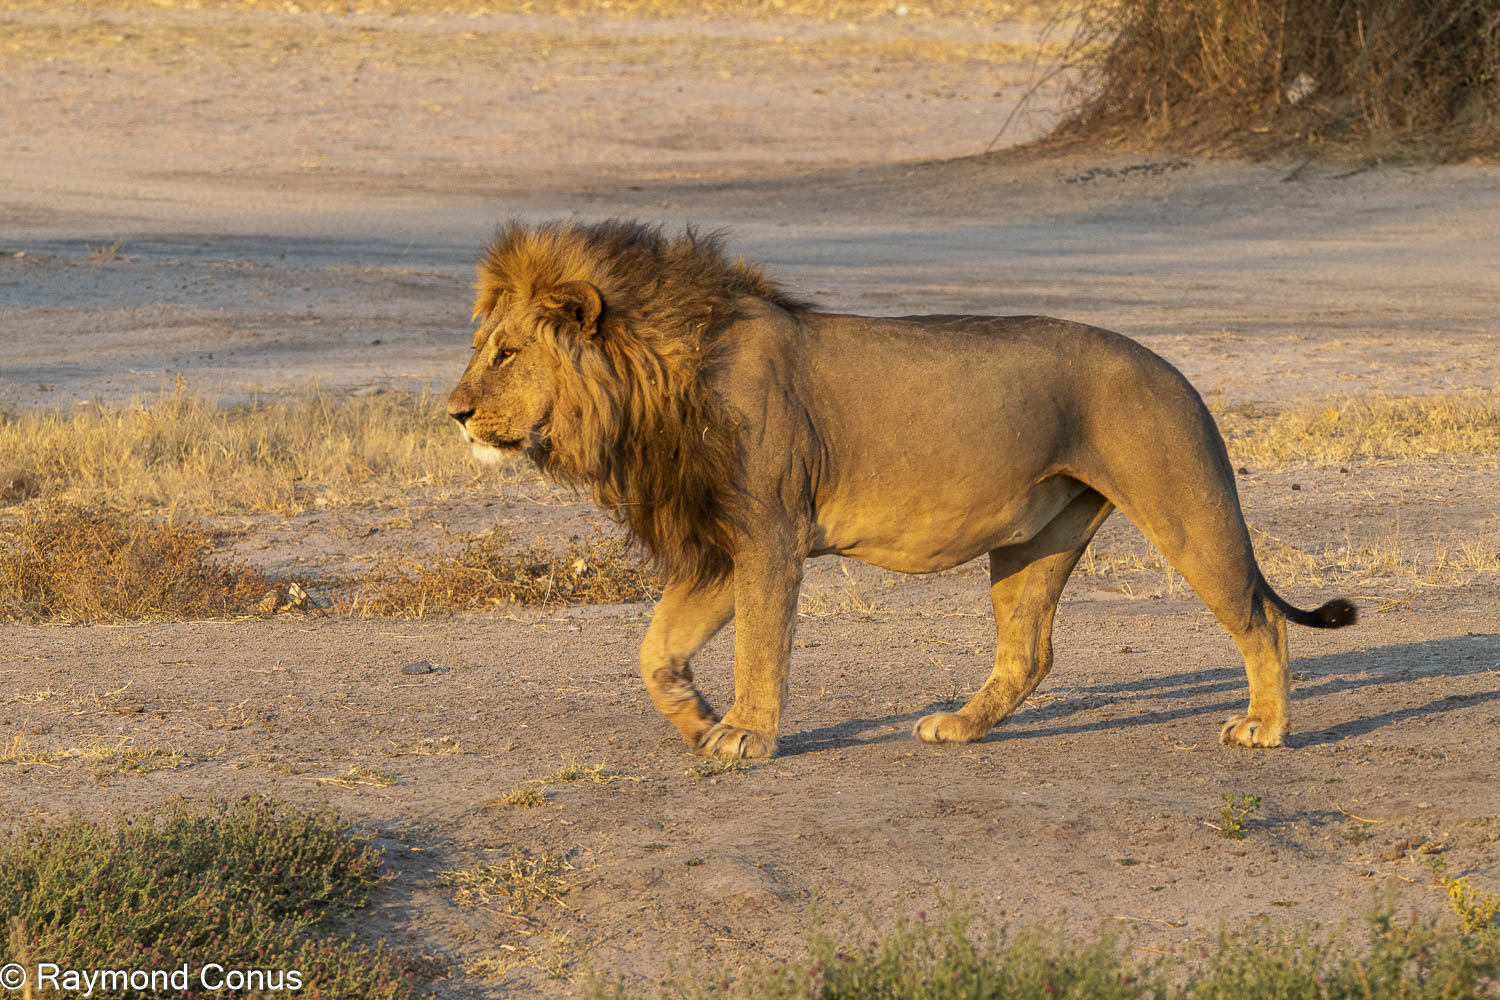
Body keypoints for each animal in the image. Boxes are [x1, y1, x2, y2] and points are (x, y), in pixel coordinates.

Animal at [446, 219, 1356, 760]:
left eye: (505, 354)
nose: (454, 413)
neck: (654, 382)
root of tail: (1175, 371)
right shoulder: (721, 545)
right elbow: (653, 651)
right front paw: (701, 720)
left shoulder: (768, 535)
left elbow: (758, 647)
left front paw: (745, 733)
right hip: (1037, 540)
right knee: (1029, 653)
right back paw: (959, 726)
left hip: (1184, 506)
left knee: (1261, 619)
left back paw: (1266, 728)